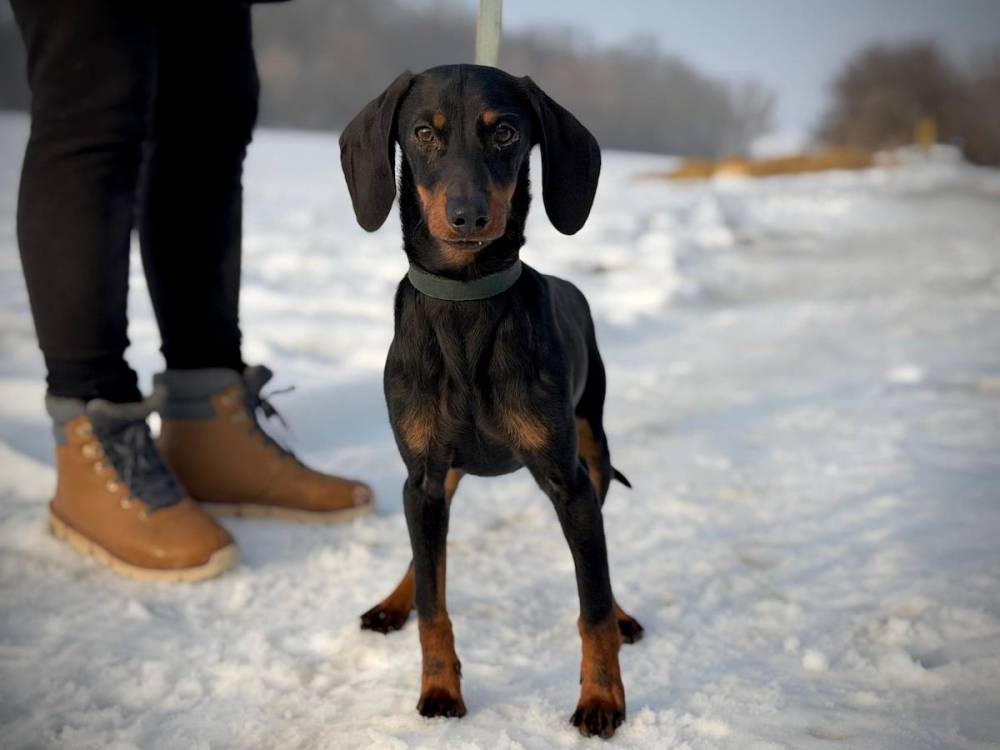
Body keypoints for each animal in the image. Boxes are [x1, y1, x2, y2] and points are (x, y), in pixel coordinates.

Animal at [340, 64, 642, 739]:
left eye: (505, 131)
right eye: (423, 133)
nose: (469, 217)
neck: (466, 304)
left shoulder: (568, 482)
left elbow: (592, 604)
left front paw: (602, 700)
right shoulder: (424, 476)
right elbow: (434, 603)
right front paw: (438, 689)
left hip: (593, 448)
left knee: (599, 565)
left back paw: (624, 615)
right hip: (439, 477)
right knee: (426, 560)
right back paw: (393, 603)